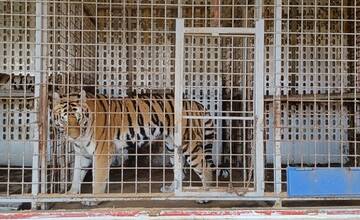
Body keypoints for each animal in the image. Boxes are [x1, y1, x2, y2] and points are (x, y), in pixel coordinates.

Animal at [52, 89, 228, 205]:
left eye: (79, 118)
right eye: (63, 120)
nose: (73, 136)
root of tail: (197, 104)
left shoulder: (101, 152)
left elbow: (98, 178)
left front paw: (94, 199)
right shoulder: (82, 153)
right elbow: (76, 175)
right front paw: (70, 194)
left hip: (189, 144)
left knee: (205, 168)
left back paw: (204, 197)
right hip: (172, 146)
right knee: (181, 172)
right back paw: (171, 190)